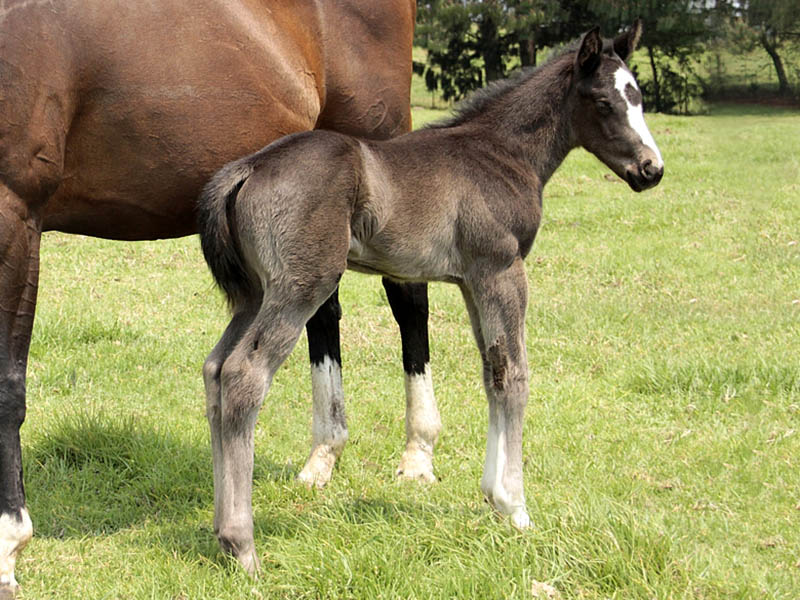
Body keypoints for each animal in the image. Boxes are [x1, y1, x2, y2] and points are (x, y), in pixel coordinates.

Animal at [0, 2, 438, 596]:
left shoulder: (15, 211)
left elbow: (8, 385)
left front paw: (8, 547)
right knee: (323, 314)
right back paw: (323, 456)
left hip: (379, 142)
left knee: (408, 300)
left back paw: (418, 454)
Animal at [198, 19, 664, 572]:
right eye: (604, 102)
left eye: (639, 97)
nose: (651, 169)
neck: (500, 153)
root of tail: (248, 168)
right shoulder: (502, 269)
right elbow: (515, 375)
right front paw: (516, 507)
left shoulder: (471, 280)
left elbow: (492, 372)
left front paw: (493, 497)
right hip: (299, 288)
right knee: (244, 375)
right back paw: (242, 544)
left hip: (253, 294)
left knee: (215, 369)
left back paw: (219, 531)